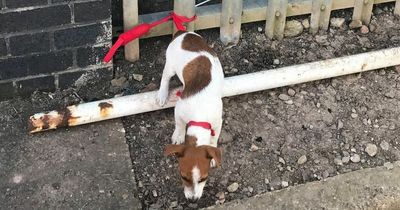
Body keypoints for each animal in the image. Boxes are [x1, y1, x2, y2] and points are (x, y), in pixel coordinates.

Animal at [157, 31, 225, 200]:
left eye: (203, 179)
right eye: (183, 177)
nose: (193, 201)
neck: (200, 117)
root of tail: (183, 32)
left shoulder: (217, 122)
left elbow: (214, 138)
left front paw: (213, 150)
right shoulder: (179, 110)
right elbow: (180, 125)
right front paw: (179, 136)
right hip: (170, 65)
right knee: (165, 78)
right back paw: (162, 94)